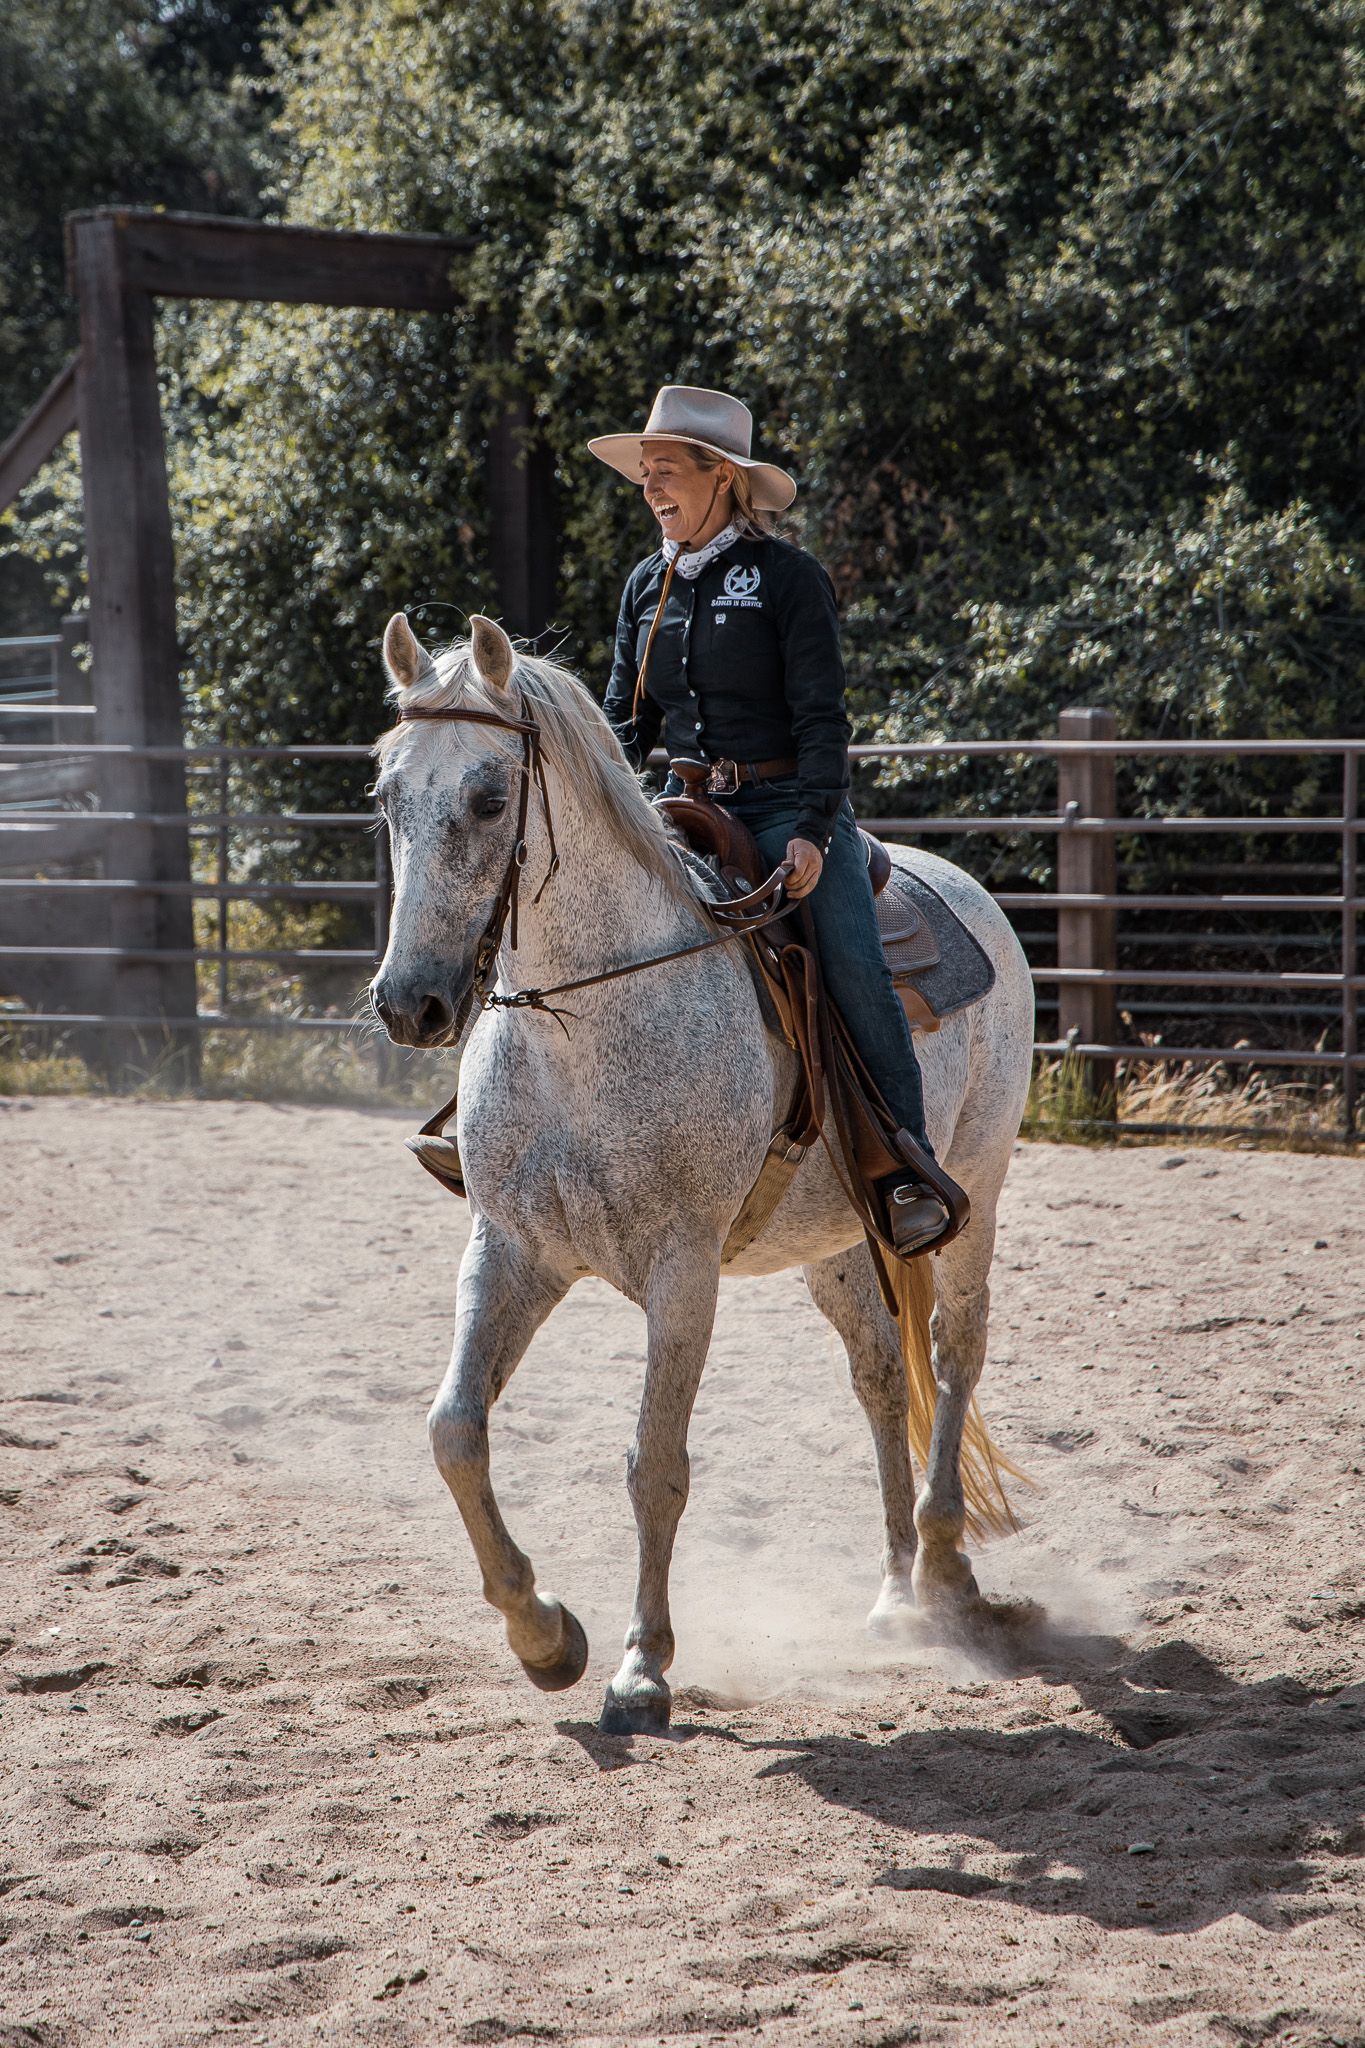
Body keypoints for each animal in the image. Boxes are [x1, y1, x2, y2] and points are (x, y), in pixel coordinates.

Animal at [370, 611, 1036, 1734]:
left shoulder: (681, 1272)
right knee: (879, 1374)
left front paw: (641, 1666)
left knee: (953, 1356)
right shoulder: (510, 1249)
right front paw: (542, 1632)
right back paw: (895, 1587)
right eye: (386, 794)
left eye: (490, 798)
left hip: (975, 1197)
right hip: (841, 1243)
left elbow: (656, 1465)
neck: (589, 1024)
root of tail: (967, 889)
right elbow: (454, 1429)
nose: (407, 1002)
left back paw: (946, 1568)